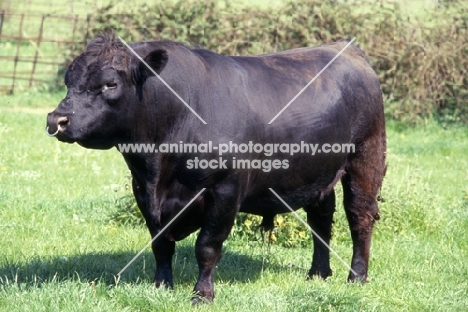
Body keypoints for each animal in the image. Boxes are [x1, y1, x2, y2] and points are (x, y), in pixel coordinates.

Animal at [46, 32, 388, 302]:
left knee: (360, 216)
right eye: (68, 80)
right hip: (318, 174)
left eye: (109, 84)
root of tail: (345, 47)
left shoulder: (225, 190)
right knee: (321, 220)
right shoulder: (142, 190)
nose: (57, 120)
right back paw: (318, 273)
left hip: (365, 159)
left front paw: (202, 294)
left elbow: (207, 247)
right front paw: (161, 286)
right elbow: (160, 245)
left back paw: (356, 276)